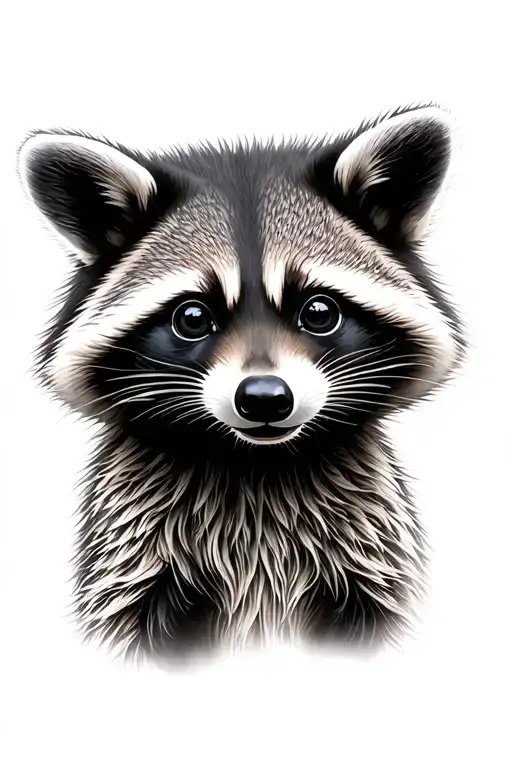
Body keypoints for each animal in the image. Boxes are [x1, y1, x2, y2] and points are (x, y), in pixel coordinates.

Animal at [18, 105, 465, 662]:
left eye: (319, 312)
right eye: (192, 317)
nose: (265, 399)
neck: (255, 465)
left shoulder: (367, 546)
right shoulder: (136, 550)